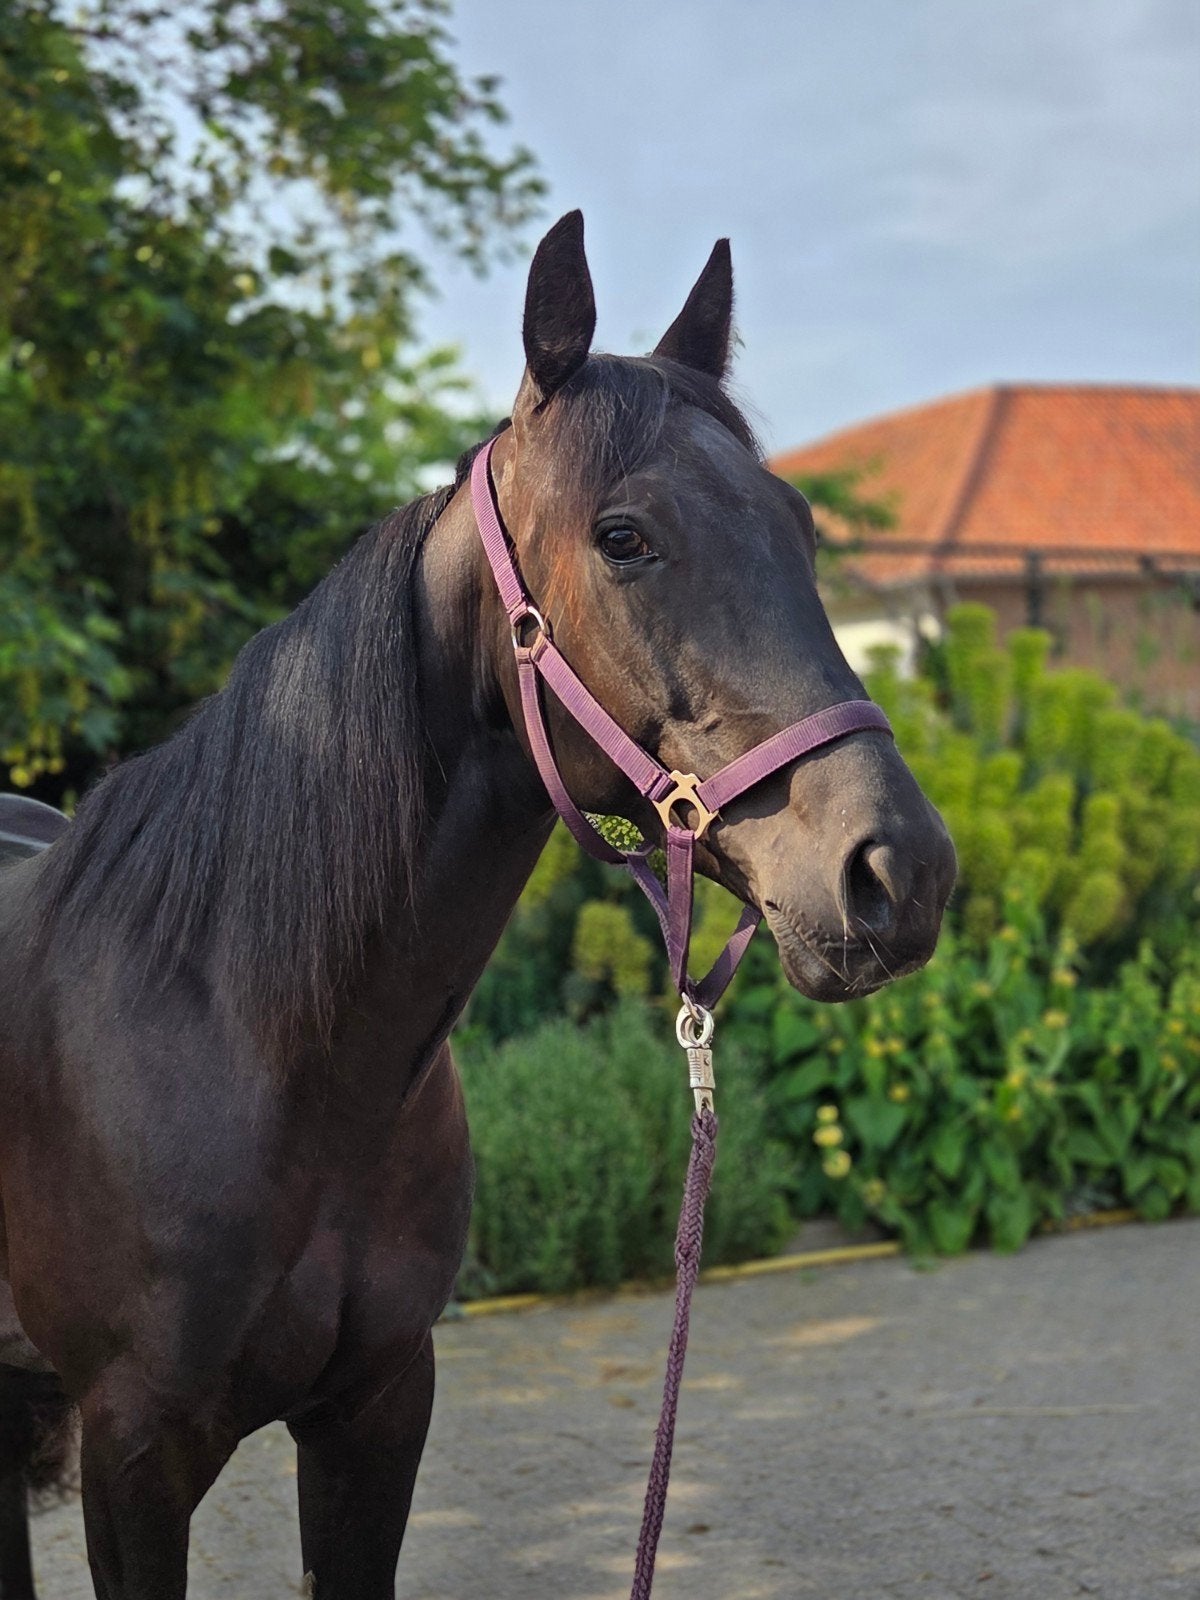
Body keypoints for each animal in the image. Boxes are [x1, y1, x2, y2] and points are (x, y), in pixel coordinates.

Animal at [0, 211, 956, 1598]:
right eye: (624, 536)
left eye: (798, 524)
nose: (898, 870)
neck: (254, 1041)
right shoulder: (131, 1445)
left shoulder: (379, 1405)